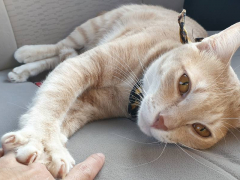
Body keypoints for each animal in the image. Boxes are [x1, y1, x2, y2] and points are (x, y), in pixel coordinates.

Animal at [1, 3, 240, 179]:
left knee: (60, 55)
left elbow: (66, 117)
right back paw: (26, 56)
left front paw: (52, 145)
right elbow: (55, 100)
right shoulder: (83, 65)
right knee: (61, 47)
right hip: (89, 29)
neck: (131, 88)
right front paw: (42, 142)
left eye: (201, 130)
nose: (161, 121)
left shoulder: (87, 105)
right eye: (184, 83)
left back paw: (22, 69)